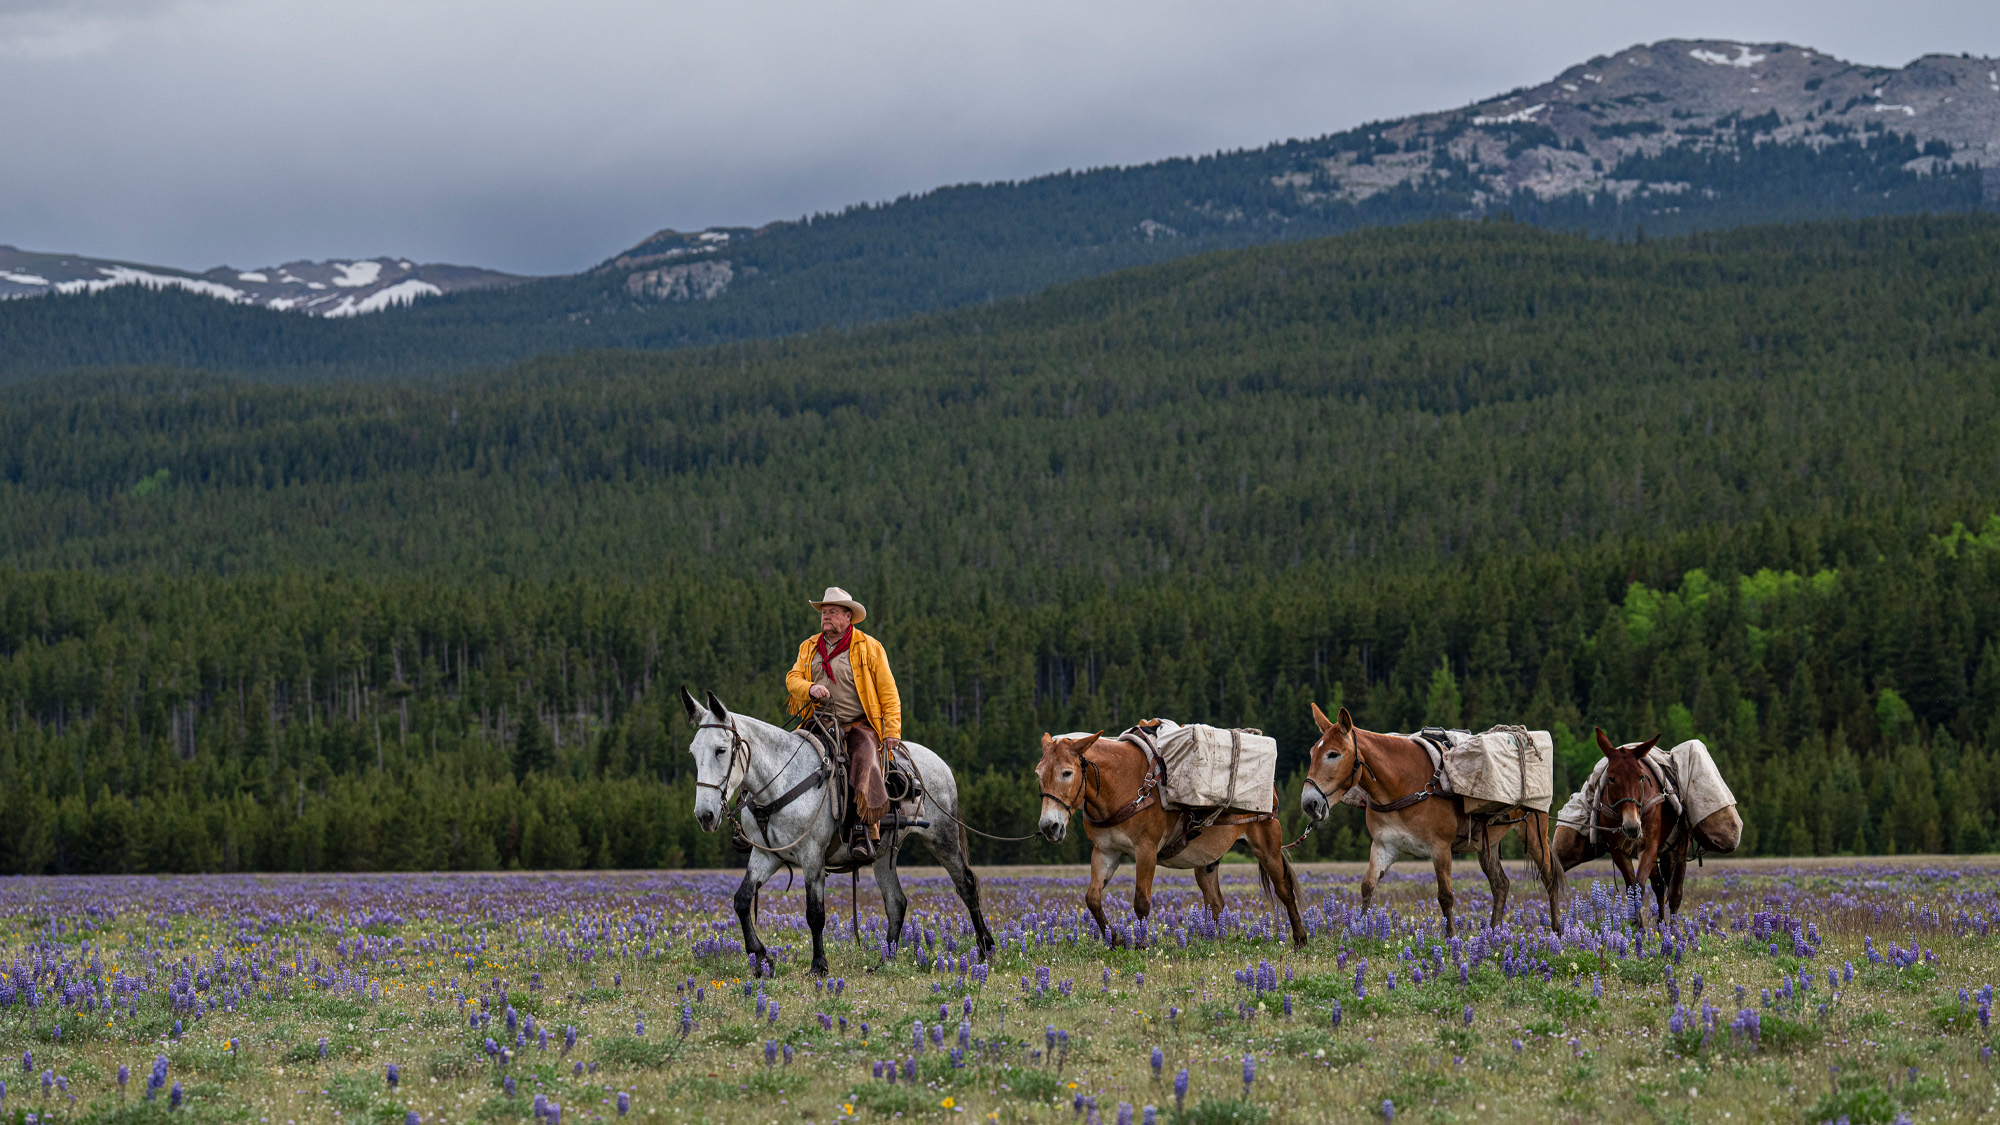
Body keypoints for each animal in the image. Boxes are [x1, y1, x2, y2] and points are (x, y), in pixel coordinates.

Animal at [684, 684, 996, 972]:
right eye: (693, 753)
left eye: (721, 750)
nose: (705, 815)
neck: (780, 781)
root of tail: (940, 763)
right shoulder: (766, 856)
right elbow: (741, 900)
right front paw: (761, 959)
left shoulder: (812, 856)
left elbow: (815, 913)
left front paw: (819, 966)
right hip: (884, 852)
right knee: (896, 901)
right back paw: (886, 960)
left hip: (942, 837)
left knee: (966, 885)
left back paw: (985, 949)